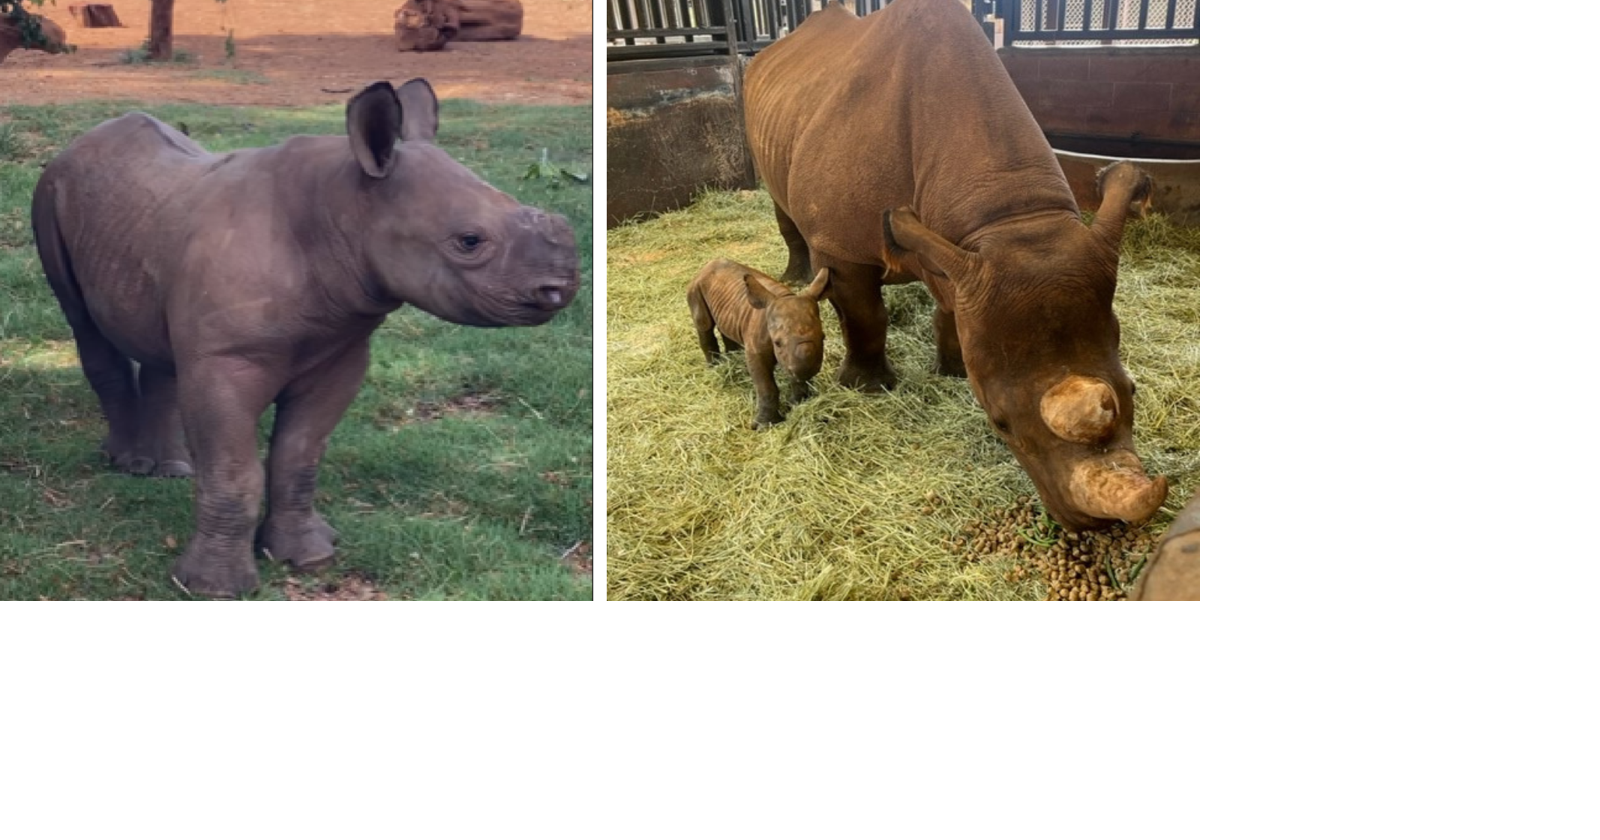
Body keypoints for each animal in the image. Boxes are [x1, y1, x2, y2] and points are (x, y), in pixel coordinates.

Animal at [31, 79, 580, 597]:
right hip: (51, 192)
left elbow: (299, 455)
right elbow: (234, 470)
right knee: (82, 320)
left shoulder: (340, 350)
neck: (345, 208)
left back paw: (173, 469)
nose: (561, 288)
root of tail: (79, 141)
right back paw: (129, 463)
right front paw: (212, 587)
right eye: (469, 242)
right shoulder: (227, 360)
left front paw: (309, 557)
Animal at [688, 258, 830, 428]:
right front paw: (764, 426)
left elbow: (795, 376)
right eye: (777, 343)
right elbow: (765, 386)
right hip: (695, 287)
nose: (807, 370)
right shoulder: (758, 351)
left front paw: (799, 405)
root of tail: (706, 266)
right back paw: (715, 367)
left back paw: (733, 356)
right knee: (704, 324)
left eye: (823, 337)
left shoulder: (792, 357)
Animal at [743, 0, 1168, 529]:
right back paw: (794, 278)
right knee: (780, 203)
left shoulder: (967, 260)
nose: (1096, 526)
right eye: (1000, 423)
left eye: (1134, 389)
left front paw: (950, 369)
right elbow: (865, 318)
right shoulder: (841, 247)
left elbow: (950, 310)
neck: (1011, 220)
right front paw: (869, 388)